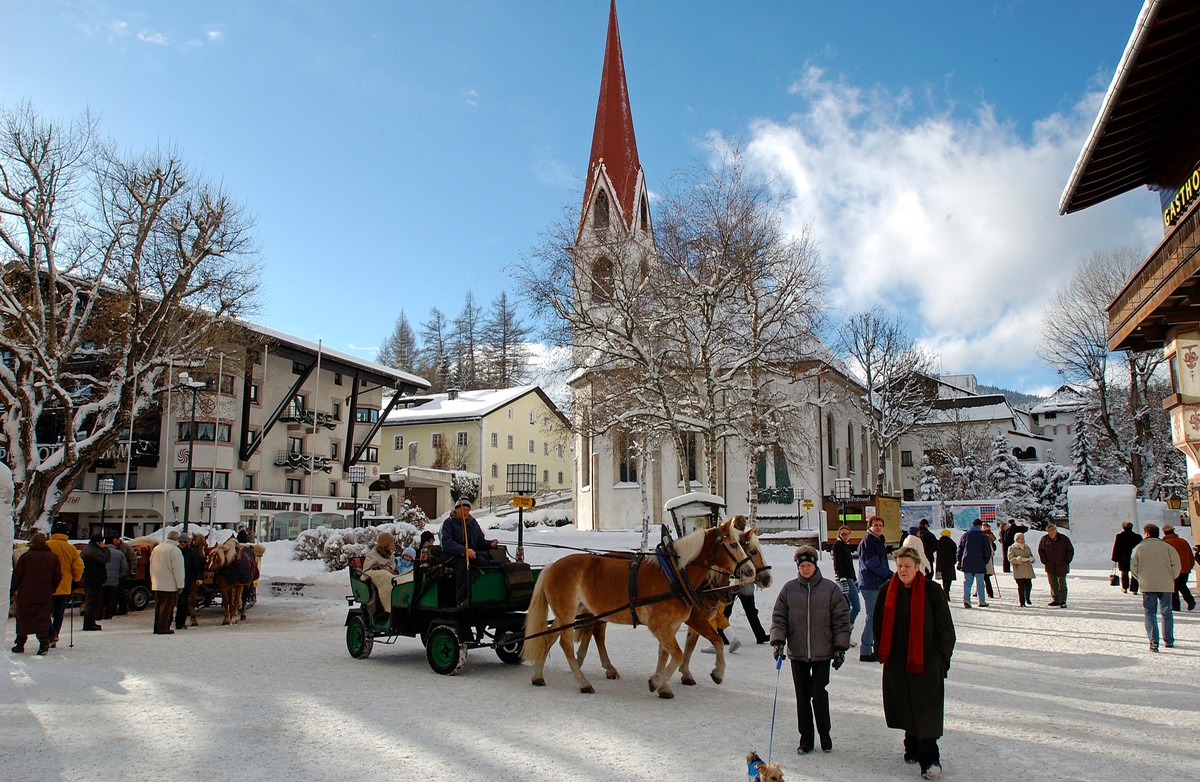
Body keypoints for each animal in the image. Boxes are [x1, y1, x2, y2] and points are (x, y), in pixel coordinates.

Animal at [518, 518, 744, 695]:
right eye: (733, 545)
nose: (748, 571)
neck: (674, 576)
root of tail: (552, 566)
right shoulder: (662, 625)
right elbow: (680, 653)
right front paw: (657, 681)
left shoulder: (670, 626)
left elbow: (670, 653)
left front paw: (664, 685)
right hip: (568, 612)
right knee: (566, 643)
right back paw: (583, 682)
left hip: (569, 613)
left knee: (551, 637)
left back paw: (539, 675)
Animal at [576, 515, 772, 686]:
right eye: (752, 550)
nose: (766, 578)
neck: (681, 576)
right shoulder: (694, 618)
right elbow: (711, 640)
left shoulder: (687, 620)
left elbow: (687, 646)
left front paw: (678, 674)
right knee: (597, 633)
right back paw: (597, 664)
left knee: (591, 630)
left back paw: (586, 660)